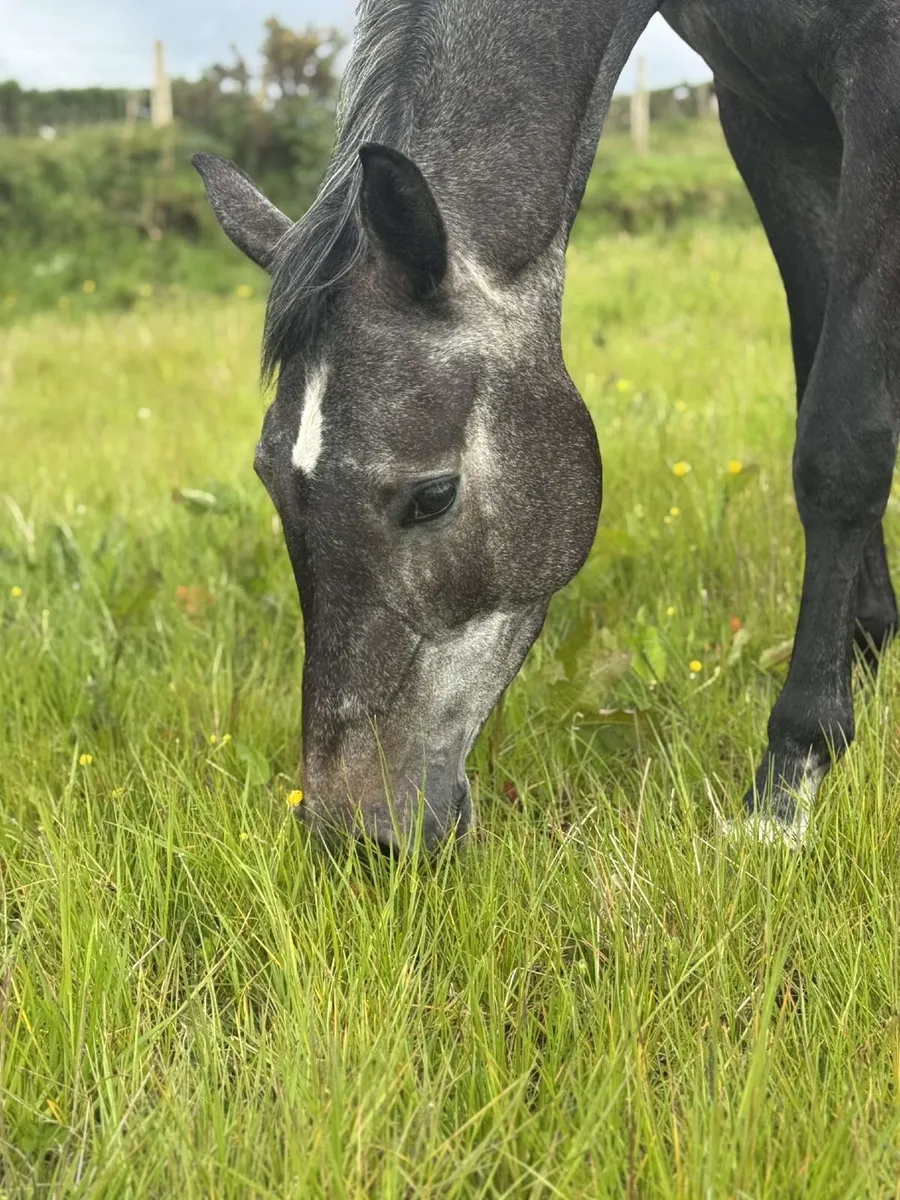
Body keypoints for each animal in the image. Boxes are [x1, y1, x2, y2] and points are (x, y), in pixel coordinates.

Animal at [194, 0, 900, 853]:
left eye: (434, 495)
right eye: (270, 479)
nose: (353, 834)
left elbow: (843, 437)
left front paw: (790, 781)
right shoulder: (764, 114)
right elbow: (820, 368)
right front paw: (870, 645)